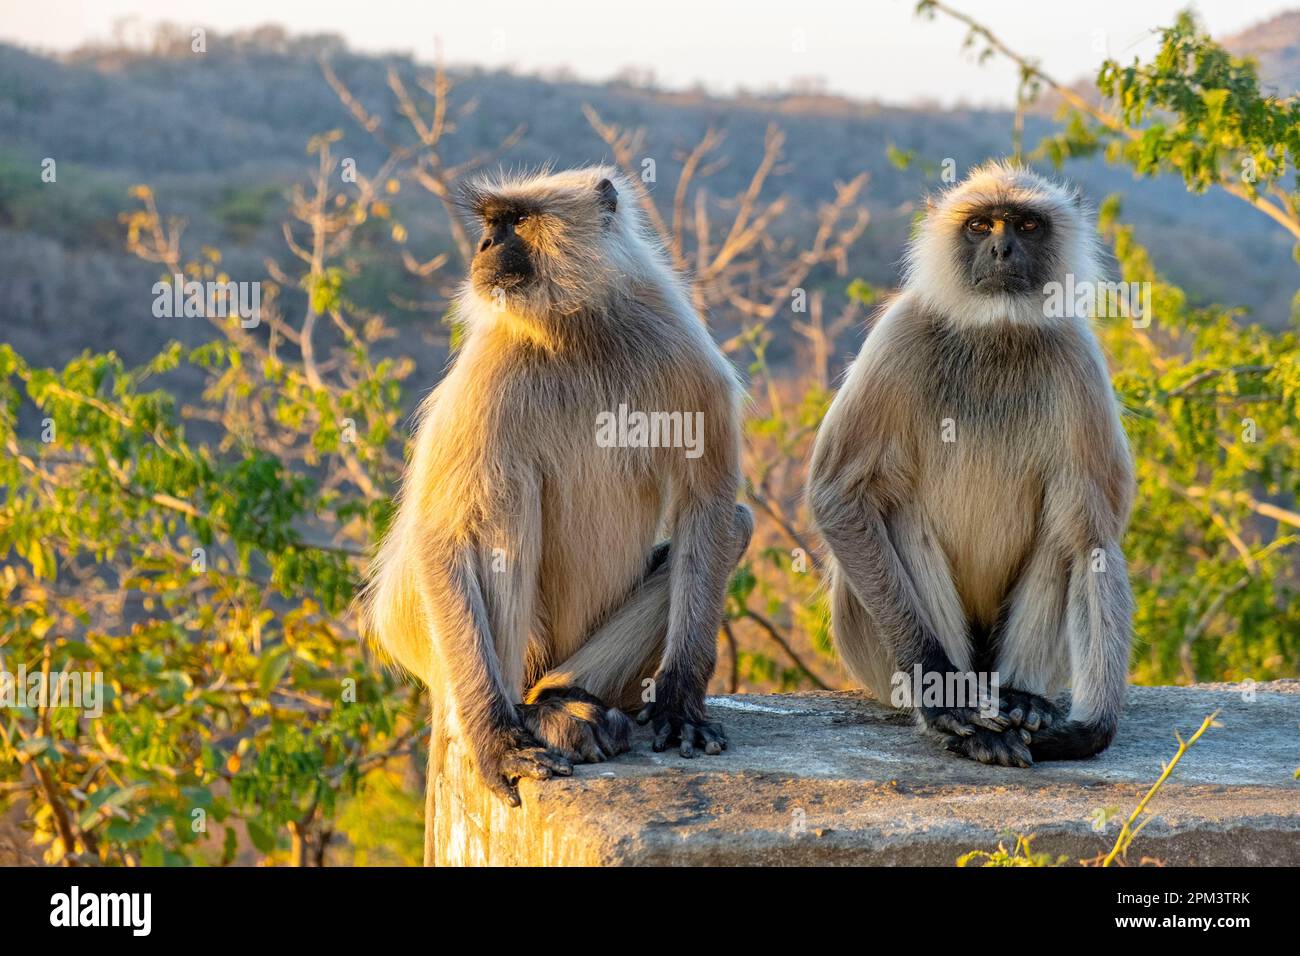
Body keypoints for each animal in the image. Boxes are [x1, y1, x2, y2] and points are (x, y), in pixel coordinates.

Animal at [361, 166, 752, 811]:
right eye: (492, 223)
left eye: (516, 221)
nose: (484, 246)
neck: (576, 329)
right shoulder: (489, 369)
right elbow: (442, 537)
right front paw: (497, 741)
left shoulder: (681, 348)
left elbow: (710, 504)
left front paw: (680, 702)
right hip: (424, 630)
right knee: (496, 508)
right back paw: (522, 718)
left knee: (735, 524)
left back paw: (564, 700)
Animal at [807, 162, 1134, 767]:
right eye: (981, 225)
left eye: (1026, 225)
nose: (1002, 250)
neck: (994, 330)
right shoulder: (901, 333)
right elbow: (838, 494)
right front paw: (940, 694)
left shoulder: (1076, 356)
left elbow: (1091, 539)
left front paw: (1089, 731)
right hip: (871, 654)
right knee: (897, 512)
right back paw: (960, 713)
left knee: (1062, 533)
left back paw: (1022, 701)